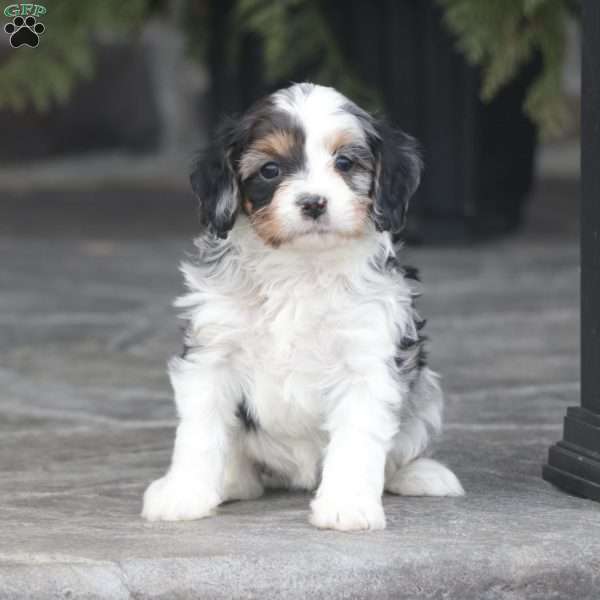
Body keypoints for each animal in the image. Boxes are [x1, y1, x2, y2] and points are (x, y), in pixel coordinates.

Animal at [142, 81, 464, 528]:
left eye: (344, 162)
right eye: (270, 170)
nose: (313, 202)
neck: (299, 265)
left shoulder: (366, 359)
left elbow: (358, 438)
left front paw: (347, 505)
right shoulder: (212, 354)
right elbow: (199, 431)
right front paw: (183, 494)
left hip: (426, 390)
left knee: (400, 453)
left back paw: (421, 474)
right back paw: (231, 482)